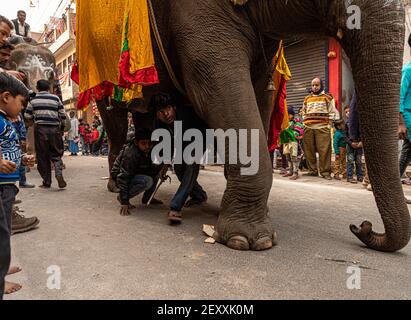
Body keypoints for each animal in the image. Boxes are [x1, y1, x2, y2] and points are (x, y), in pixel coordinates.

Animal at [95, 0, 410, 252]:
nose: (363, 226)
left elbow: (261, 94)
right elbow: (220, 91)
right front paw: (248, 240)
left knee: (144, 116)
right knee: (117, 123)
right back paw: (117, 185)